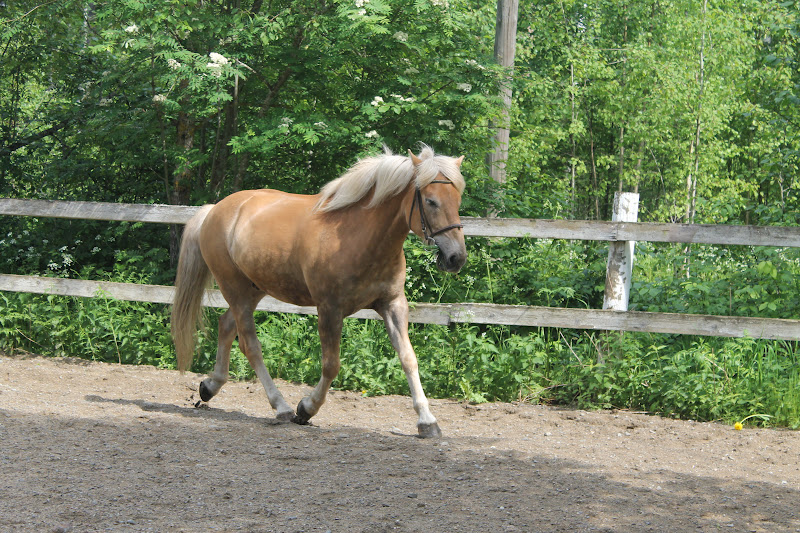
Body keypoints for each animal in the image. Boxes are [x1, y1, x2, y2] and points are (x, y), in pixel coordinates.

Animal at [170, 145, 467, 438]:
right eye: (430, 201)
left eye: (458, 199)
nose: (456, 258)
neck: (360, 236)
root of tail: (214, 210)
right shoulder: (329, 309)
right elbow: (331, 365)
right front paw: (306, 408)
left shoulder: (392, 304)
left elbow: (408, 358)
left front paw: (427, 421)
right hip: (235, 290)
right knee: (250, 345)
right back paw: (281, 407)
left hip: (253, 290)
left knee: (226, 326)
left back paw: (210, 387)